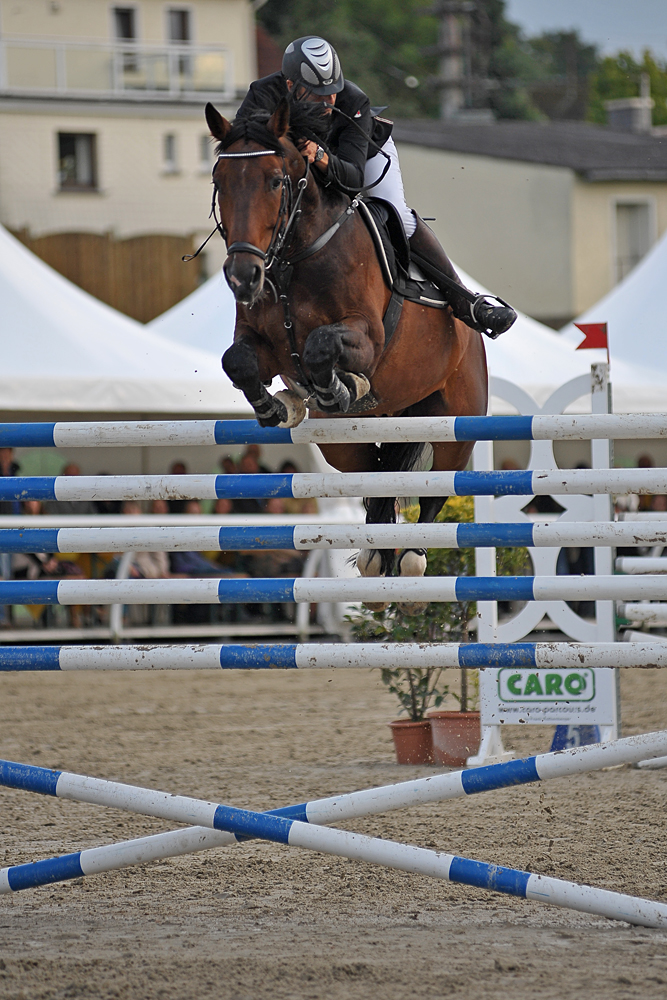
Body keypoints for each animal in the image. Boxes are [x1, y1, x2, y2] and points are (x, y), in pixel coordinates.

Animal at [206, 99, 488, 608]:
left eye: (274, 181)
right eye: (221, 181)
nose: (243, 276)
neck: (294, 256)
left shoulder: (367, 337)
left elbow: (322, 347)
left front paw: (341, 386)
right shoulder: (259, 342)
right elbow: (237, 361)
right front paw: (279, 405)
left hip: (455, 424)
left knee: (435, 489)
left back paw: (411, 562)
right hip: (347, 446)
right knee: (375, 482)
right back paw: (377, 563)